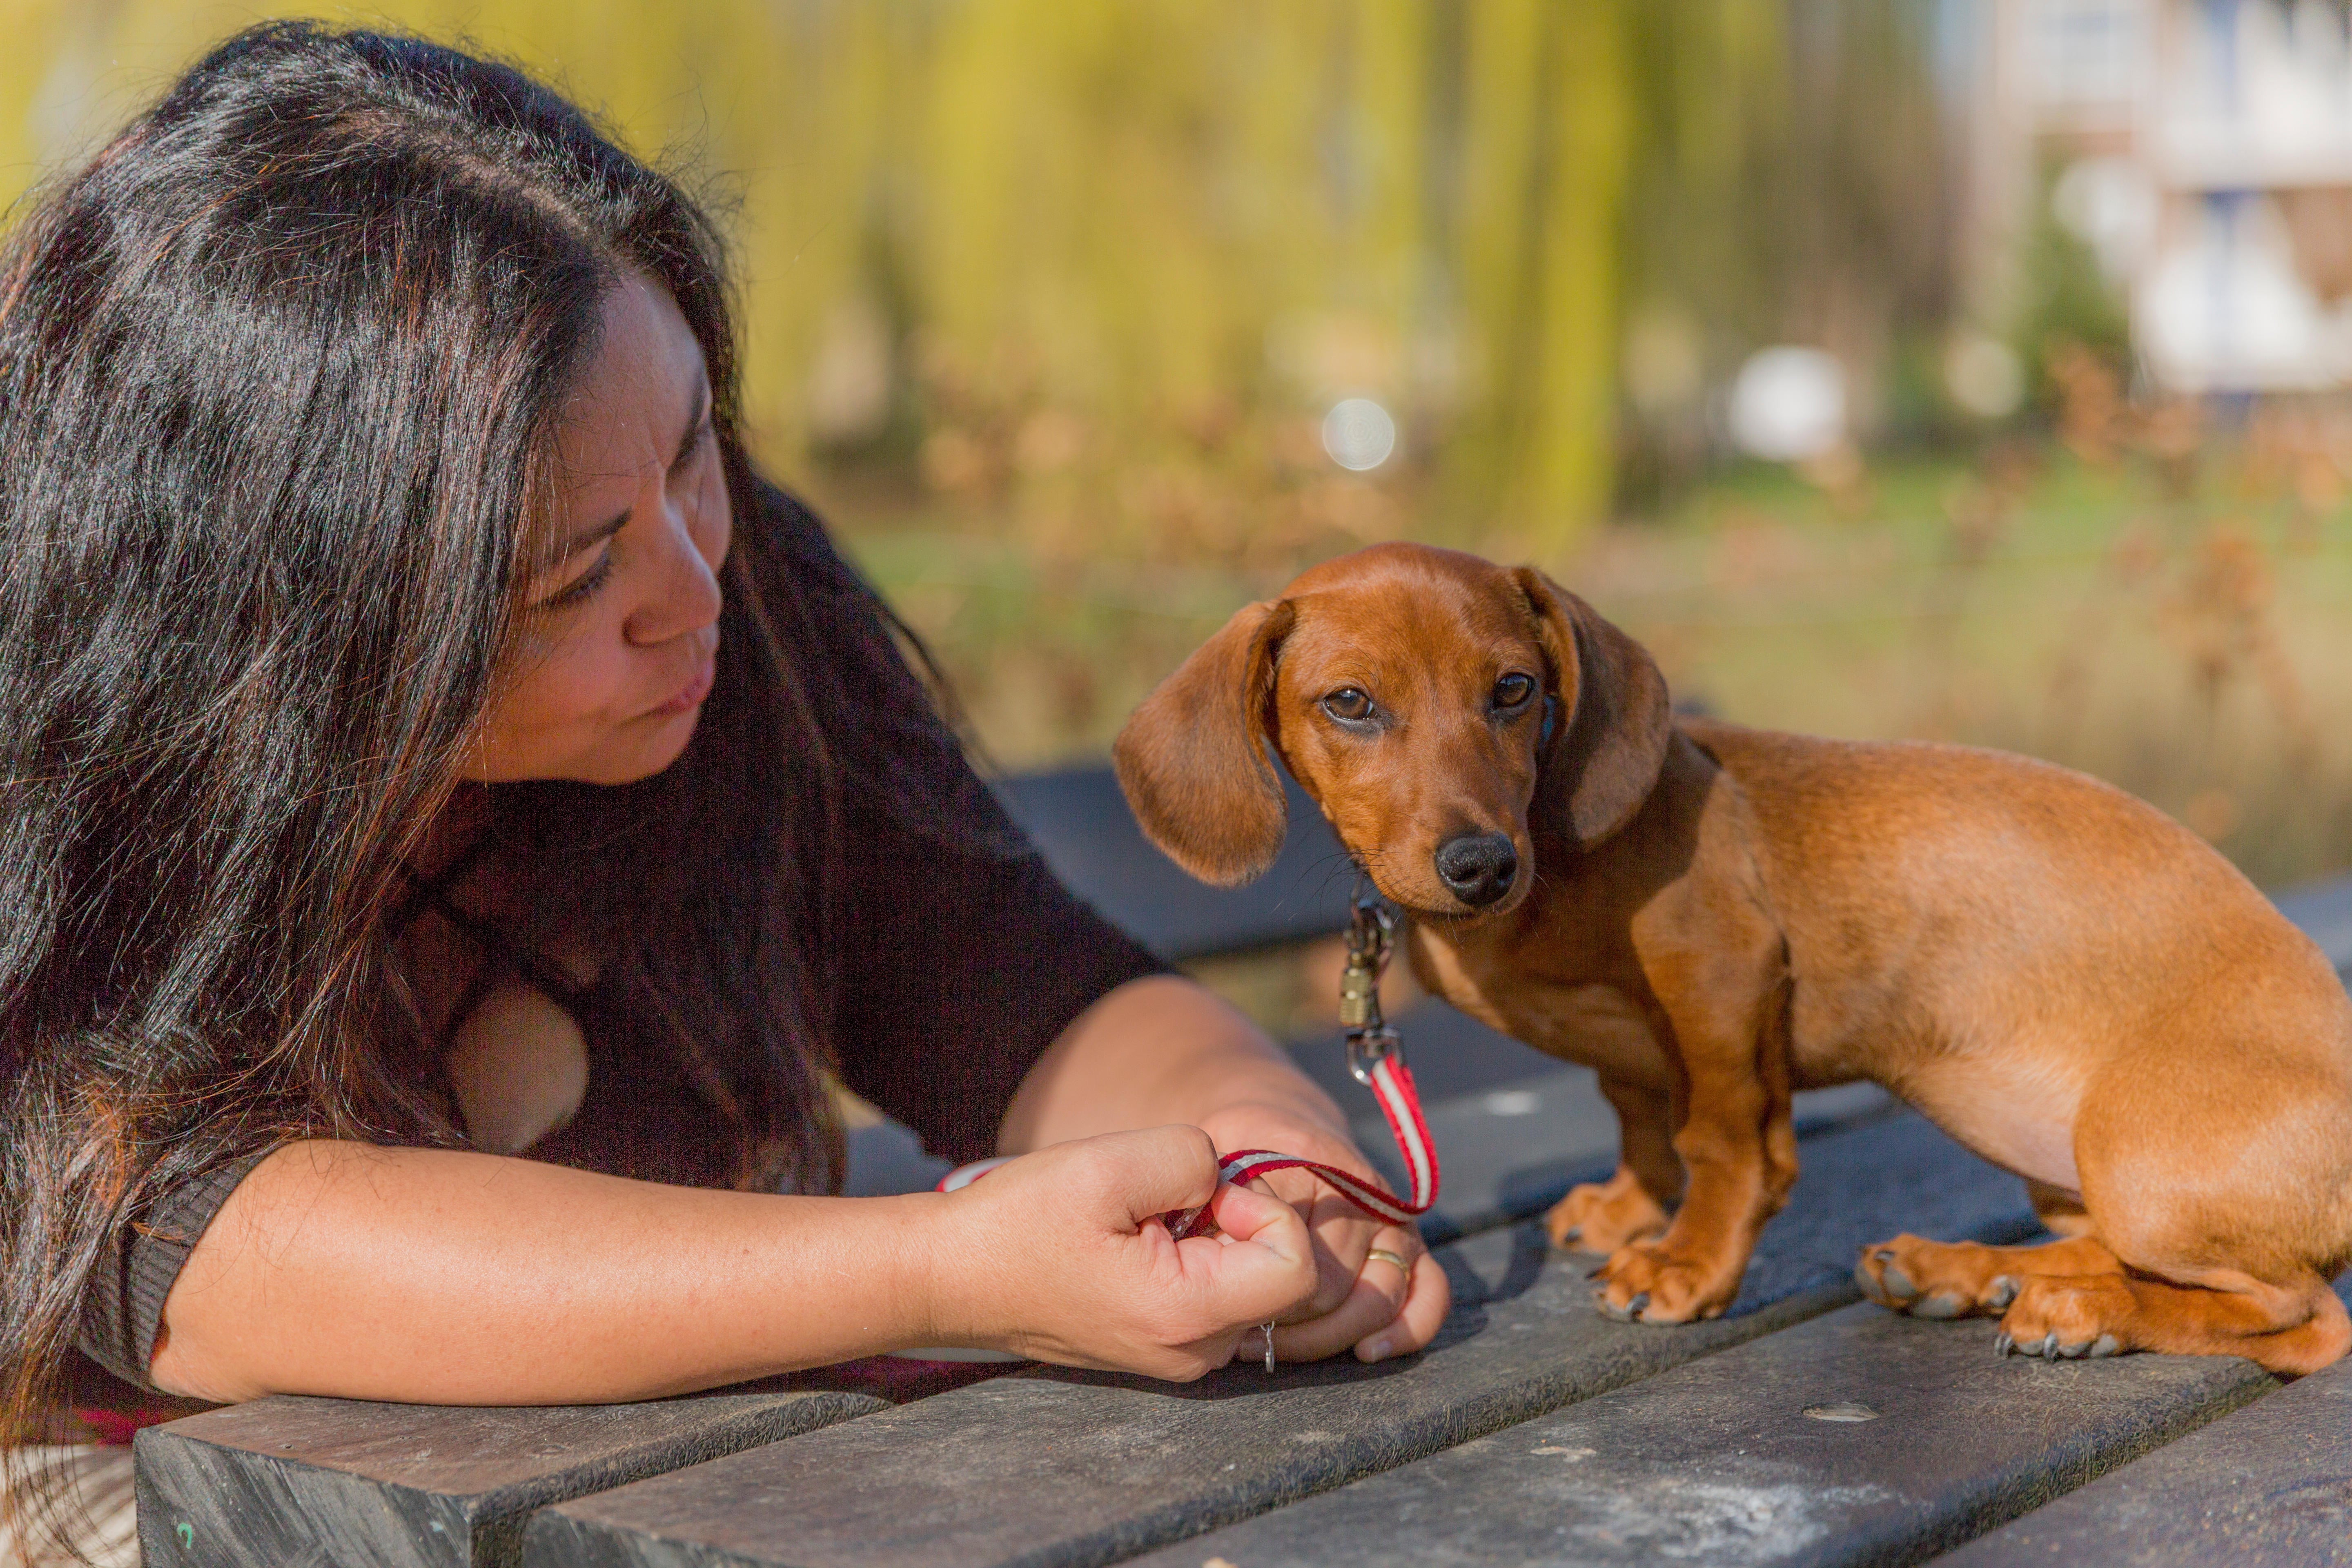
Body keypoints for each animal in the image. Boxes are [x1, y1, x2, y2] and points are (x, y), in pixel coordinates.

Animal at [1115, 543, 2352, 1373]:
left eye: (1513, 688)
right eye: (1349, 704)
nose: (1477, 865)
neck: (1551, 852)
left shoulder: (1719, 971)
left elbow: (1723, 1144)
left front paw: (1684, 1265)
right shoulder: (1630, 1049)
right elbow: (1636, 1114)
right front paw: (1628, 1206)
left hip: (2137, 1156)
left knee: (2296, 1315)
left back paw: (2077, 1313)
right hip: (2053, 1169)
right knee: (2123, 1254)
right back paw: (1967, 1271)